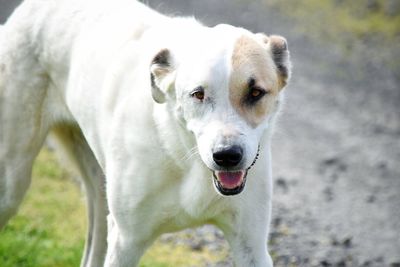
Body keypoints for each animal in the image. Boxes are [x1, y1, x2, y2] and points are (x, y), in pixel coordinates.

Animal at [0, 0, 290, 266]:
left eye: (256, 93)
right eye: (198, 94)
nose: (227, 156)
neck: (183, 154)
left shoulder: (251, 246)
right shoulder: (126, 243)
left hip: (100, 195)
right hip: (12, 184)